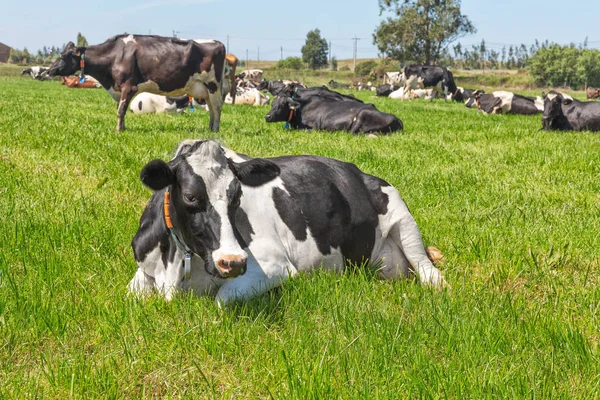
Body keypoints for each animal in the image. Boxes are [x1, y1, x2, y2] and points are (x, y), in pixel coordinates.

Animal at [46, 35, 225, 132]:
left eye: (63, 56)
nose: (48, 71)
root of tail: (219, 43)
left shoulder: (128, 86)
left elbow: (120, 110)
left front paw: (118, 130)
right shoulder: (119, 88)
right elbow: (121, 109)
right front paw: (123, 128)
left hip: (213, 84)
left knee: (217, 108)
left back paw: (216, 129)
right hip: (204, 89)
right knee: (211, 108)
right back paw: (210, 128)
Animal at [127, 139, 446, 302]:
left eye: (237, 195)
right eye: (191, 196)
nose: (233, 262)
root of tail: (361, 173)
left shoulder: (274, 266)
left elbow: (221, 299)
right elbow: (130, 294)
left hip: (403, 219)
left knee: (428, 270)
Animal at [264, 94, 400, 134]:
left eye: (281, 106)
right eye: (272, 104)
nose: (267, 116)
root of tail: (397, 119)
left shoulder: (313, 128)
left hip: (363, 114)